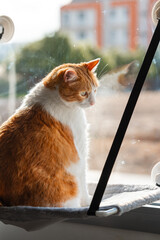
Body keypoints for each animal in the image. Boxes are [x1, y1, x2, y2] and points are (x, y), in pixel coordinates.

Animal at [0, 58, 100, 208]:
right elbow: (83, 181)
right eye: (83, 93)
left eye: (95, 90)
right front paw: (87, 202)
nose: (94, 103)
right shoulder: (80, 153)